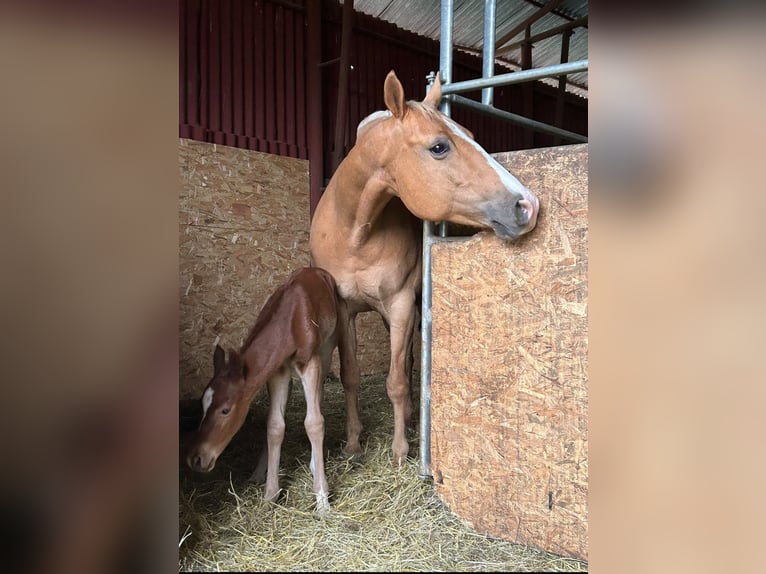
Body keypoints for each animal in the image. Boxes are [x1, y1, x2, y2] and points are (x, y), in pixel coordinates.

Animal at [186, 266, 350, 514]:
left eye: (225, 410)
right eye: (202, 405)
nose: (195, 459)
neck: (290, 319)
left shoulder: (310, 362)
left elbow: (314, 423)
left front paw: (322, 499)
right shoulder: (277, 371)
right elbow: (274, 426)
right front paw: (270, 494)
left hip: (327, 348)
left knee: (318, 397)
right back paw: (259, 472)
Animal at [309, 70, 540, 467]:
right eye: (439, 147)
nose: (527, 205)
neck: (354, 232)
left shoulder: (401, 304)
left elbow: (397, 382)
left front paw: (401, 450)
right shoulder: (345, 309)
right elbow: (351, 374)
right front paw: (353, 443)